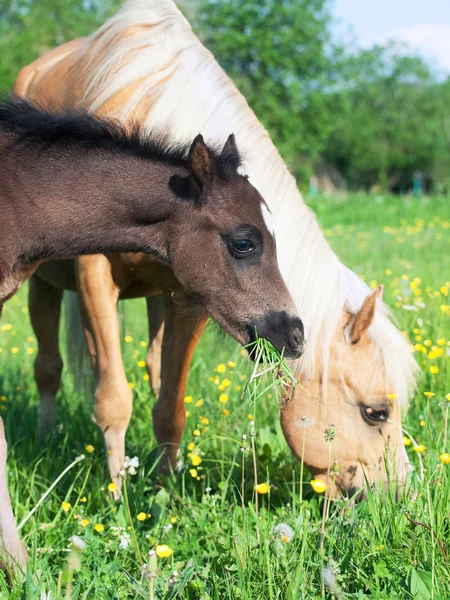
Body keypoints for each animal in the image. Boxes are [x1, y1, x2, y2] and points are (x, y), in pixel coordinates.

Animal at [14, 0, 418, 496]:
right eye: (376, 411)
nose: (400, 496)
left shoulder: (192, 297)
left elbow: (171, 405)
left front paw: (164, 489)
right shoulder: (95, 280)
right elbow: (112, 399)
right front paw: (117, 494)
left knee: (152, 368)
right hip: (45, 287)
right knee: (48, 367)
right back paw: (46, 436)